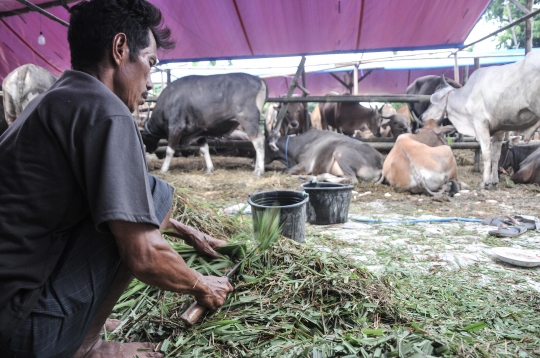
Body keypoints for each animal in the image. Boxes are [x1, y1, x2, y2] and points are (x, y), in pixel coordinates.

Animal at [424, 51, 540, 189]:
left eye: (433, 102)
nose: (423, 116)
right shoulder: (499, 130)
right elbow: (495, 156)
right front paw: (494, 181)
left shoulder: (481, 124)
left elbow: (486, 155)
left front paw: (485, 182)